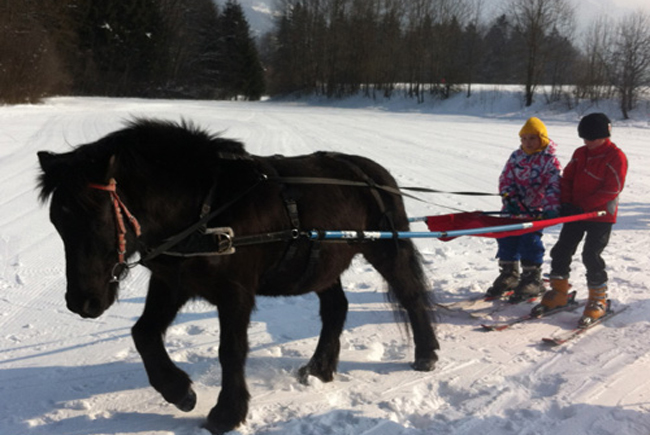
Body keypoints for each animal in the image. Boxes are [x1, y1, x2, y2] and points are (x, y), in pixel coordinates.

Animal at [36, 117, 440, 434]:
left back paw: (426, 354)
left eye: (97, 219)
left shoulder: (236, 292)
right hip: (324, 263)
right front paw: (179, 391)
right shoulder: (172, 282)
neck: (205, 206)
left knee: (410, 295)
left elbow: (230, 350)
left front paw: (226, 414)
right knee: (335, 308)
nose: (82, 302)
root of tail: (372, 173)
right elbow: (144, 333)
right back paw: (320, 368)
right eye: (58, 222)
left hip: (386, 248)